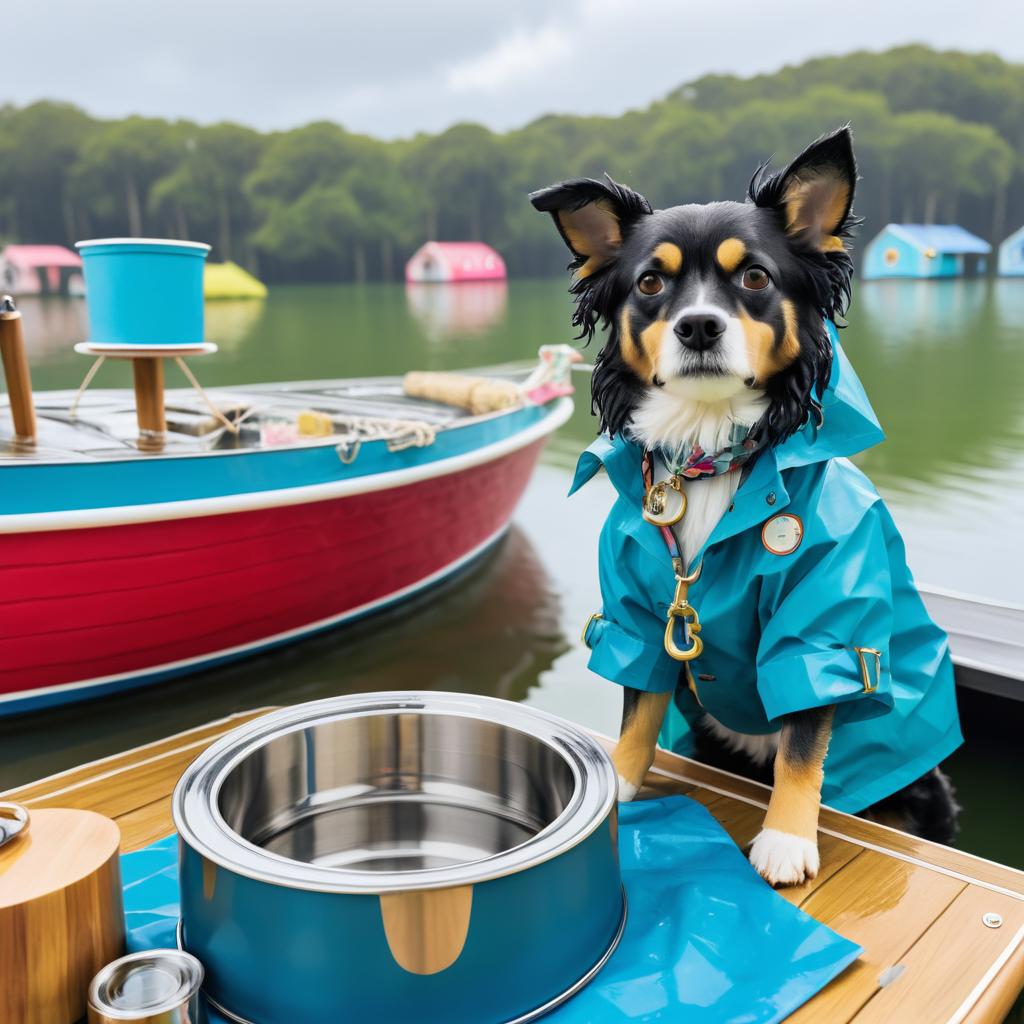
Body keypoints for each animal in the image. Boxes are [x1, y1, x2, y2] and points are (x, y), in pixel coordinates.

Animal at [532, 123, 962, 884]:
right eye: (650, 283)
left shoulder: (822, 625)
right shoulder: (640, 615)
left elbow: (802, 738)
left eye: (756, 278)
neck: (708, 462)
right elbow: (639, 711)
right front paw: (617, 782)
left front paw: (786, 839)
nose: (699, 326)